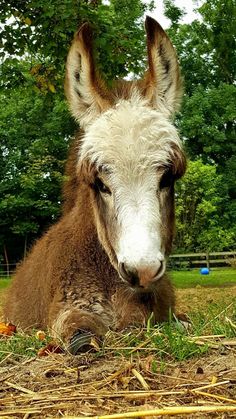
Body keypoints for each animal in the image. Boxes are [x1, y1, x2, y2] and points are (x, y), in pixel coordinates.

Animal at [3, 18, 186, 356]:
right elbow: (79, 332)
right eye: (100, 184)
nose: (142, 270)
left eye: (167, 178)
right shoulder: (66, 307)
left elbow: (157, 321)